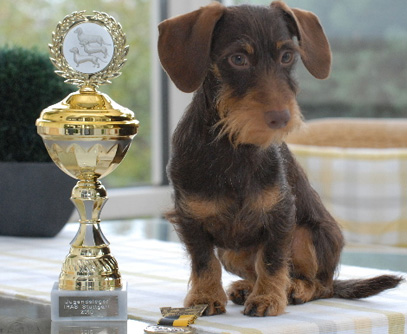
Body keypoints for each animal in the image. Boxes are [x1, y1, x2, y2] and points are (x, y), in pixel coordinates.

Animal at [158, 1, 404, 318]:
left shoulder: (282, 215)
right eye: (238, 58)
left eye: (287, 56)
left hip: (305, 236)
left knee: (319, 284)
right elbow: (203, 261)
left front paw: (268, 298)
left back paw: (294, 289)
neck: (235, 148)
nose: (281, 118)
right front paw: (205, 297)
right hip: (231, 252)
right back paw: (246, 287)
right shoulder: (190, 218)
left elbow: (273, 260)